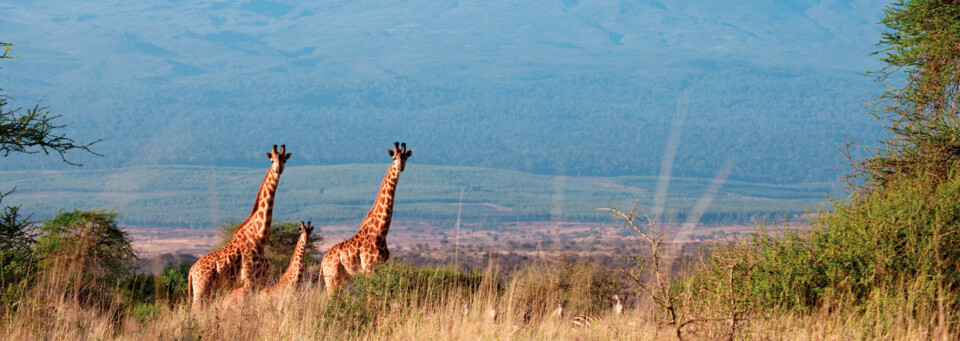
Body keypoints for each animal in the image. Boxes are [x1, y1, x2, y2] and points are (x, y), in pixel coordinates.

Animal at [188, 143, 290, 310]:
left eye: (284, 160)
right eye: (271, 160)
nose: (278, 169)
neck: (259, 235)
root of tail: (191, 271)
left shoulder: (260, 281)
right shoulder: (249, 280)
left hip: (207, 290)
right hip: (201, 288)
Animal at [320, 141, 410, 292]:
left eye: (405, 158)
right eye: (394, 158)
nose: (400, 167)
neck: (381, 232)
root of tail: (322, 262)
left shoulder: (383, 267)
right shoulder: (369, 268)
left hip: (341, 279)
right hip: (332, 279)